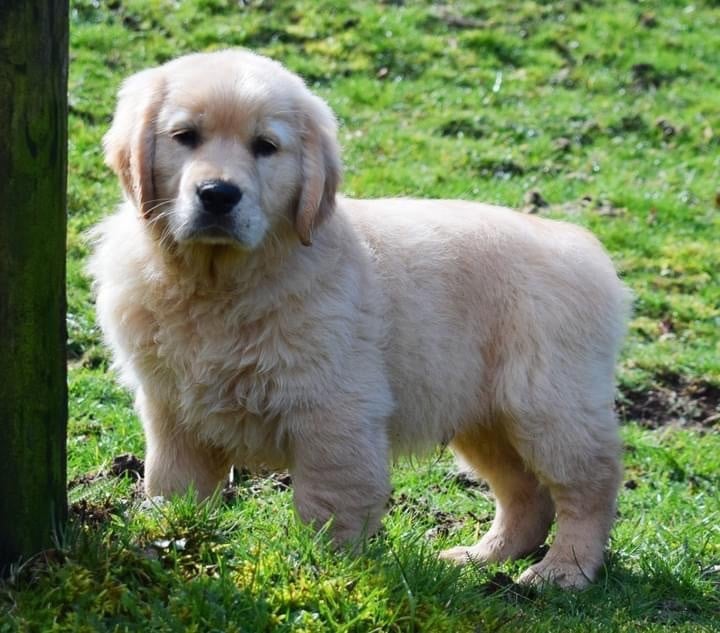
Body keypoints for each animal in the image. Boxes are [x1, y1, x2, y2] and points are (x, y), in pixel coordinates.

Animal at [90, 49, 630, 589]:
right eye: (185, 136)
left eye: (265, 147)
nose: (218, 194)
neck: (219, 284)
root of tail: (585, 249)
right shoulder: (172, 407)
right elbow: (171, 483)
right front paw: (164, 535)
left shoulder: (335, 409)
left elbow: (329, 502)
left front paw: (324, 570)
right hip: (484, 416)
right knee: (527, 496)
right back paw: (481, 557)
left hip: (548, 404)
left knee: (591, 485)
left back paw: (563, 569)